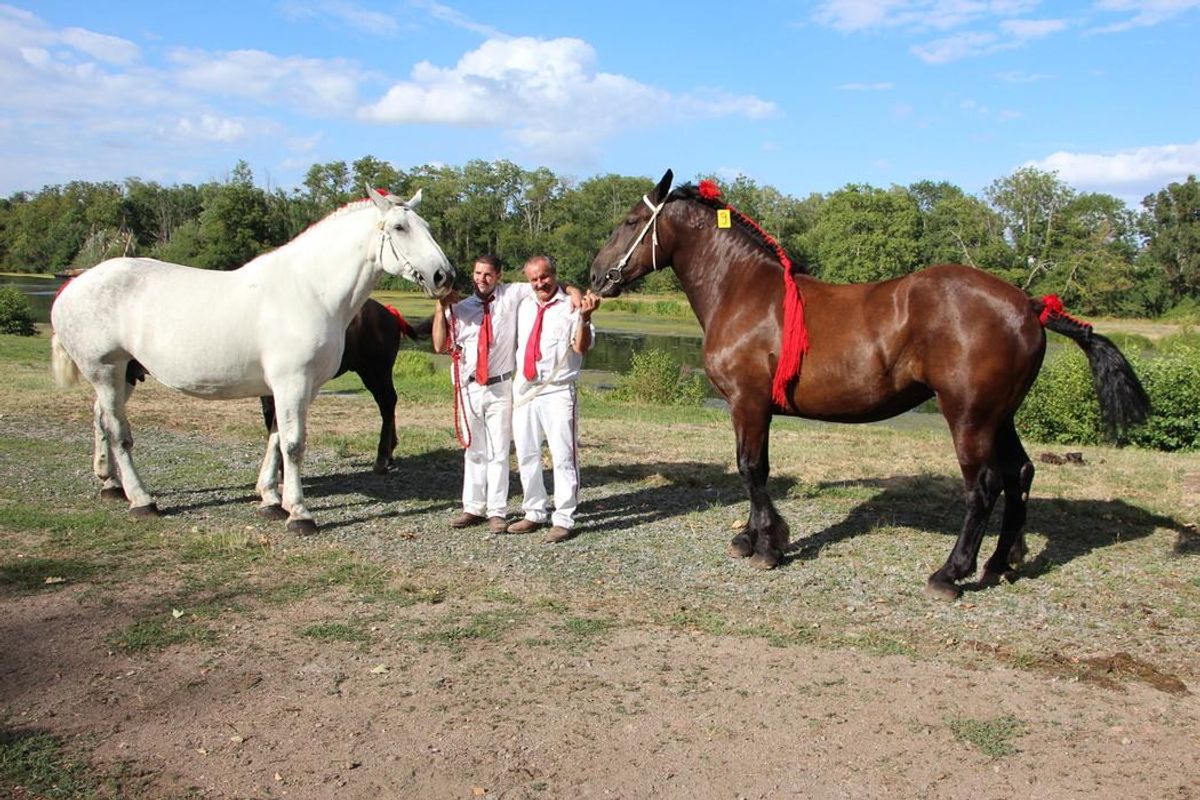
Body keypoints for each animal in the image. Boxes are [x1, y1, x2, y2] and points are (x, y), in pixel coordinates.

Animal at [590, 170, 1150, 599]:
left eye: (631, 221)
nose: (596, 275)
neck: (745, 292)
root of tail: (1030, 305)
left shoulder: (749, 403)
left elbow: (753, 470)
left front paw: (769, 544)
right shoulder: (743, 408)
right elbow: (750, 469)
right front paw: (750, 539)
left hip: (969, 416)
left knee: (984, 487)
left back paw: (951, 573)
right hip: (1000, 416)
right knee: (1021, 475)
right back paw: (1001, 563)